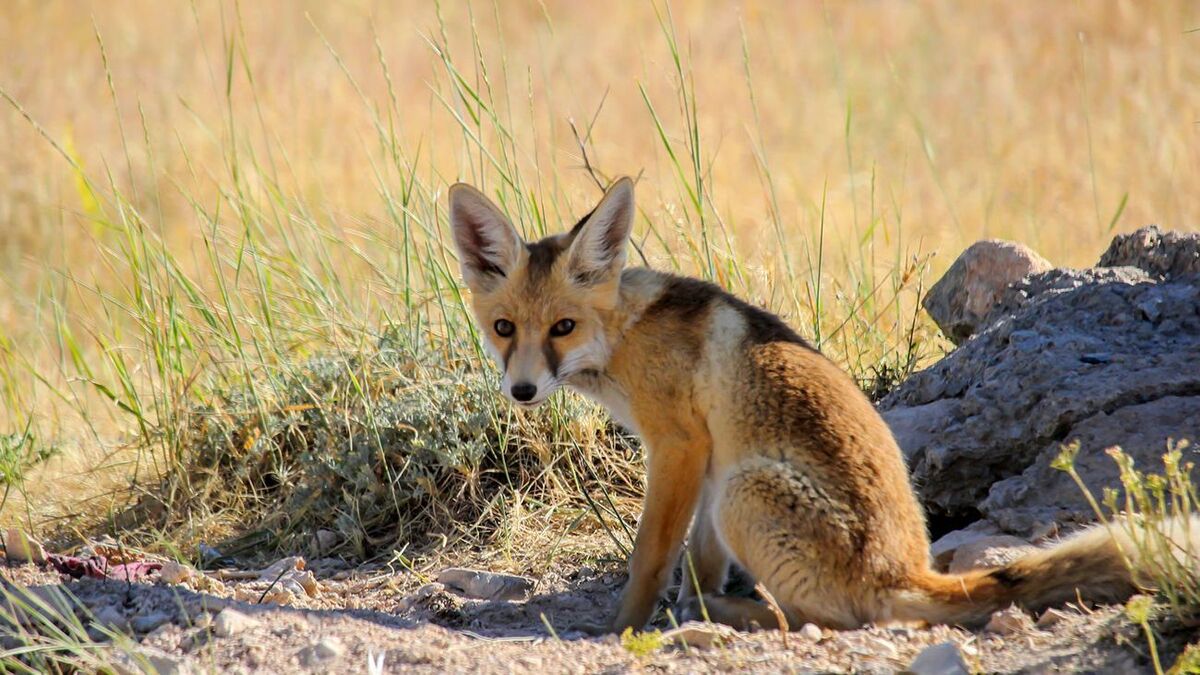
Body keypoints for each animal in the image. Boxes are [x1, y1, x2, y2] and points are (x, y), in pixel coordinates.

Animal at [448, 176, 1190, 634]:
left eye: (563, 327)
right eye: (505, 328)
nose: (521, 391)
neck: (627, 335)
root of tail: (908, 569)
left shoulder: (680, 447)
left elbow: (650, 558)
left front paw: (621, 629)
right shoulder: (709, 460)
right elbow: (697, 563)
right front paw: (684, 604)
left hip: (746, 492)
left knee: (816, 620)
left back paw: (732, 616)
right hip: (734, 489)